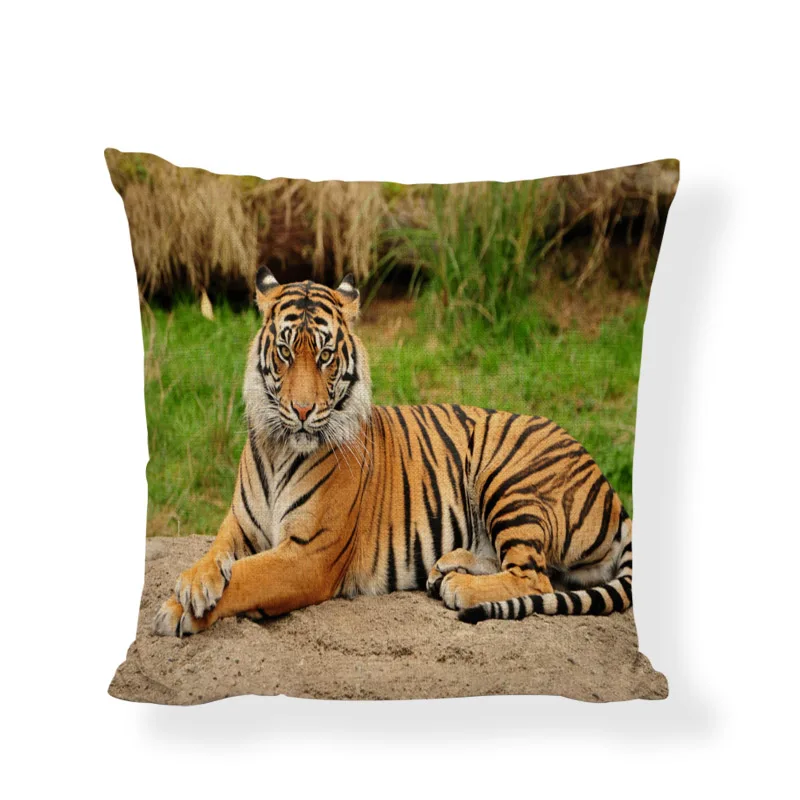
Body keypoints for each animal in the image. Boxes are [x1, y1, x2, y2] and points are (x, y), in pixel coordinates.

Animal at [153, 268, 634, 637]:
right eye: (286, 351)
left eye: (325, 356)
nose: (303, 410)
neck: (278, 447)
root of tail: (611, 491)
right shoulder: (240, 523)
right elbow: (214, 552)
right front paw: (194, 584)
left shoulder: (309, 553)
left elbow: (248, 577)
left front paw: (175, 609)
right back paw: (447, 566)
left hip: (509, 477)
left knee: (536, 576)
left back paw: (460, 588)